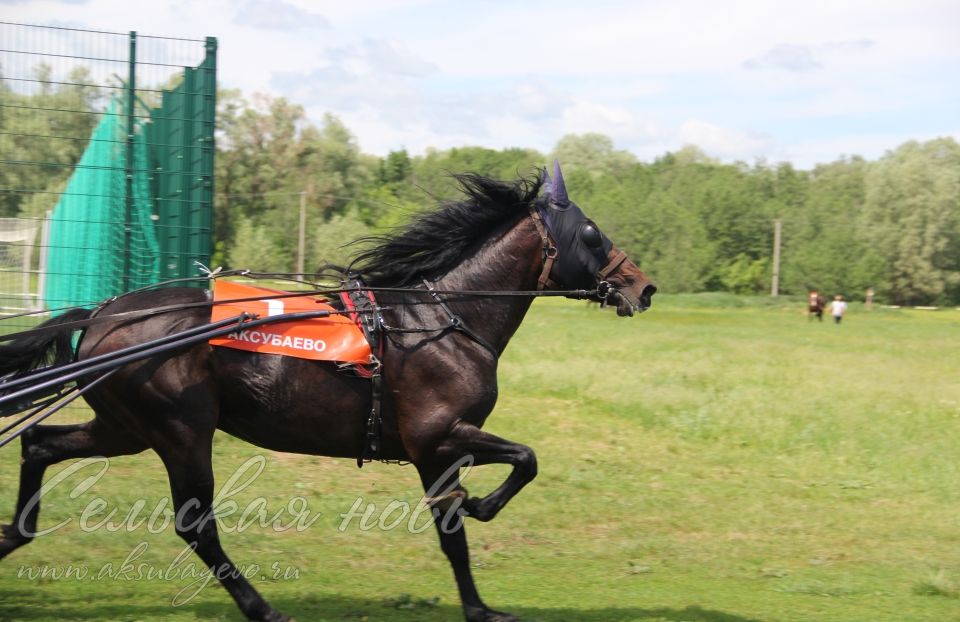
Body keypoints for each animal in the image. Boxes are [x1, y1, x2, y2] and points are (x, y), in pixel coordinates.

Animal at [0, 165, 656, 622]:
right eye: (592, 234)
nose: (643, 287)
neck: (438, 322)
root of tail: (102, 315)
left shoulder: (432, 452)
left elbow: (453, 535)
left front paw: (478, 602)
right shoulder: (439, 435)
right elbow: (524, 460)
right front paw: (483, 506)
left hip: (125, 428)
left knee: (38, 443)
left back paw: (13, 535)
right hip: (179, 431)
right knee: (196, 526)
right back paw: (261, 607)